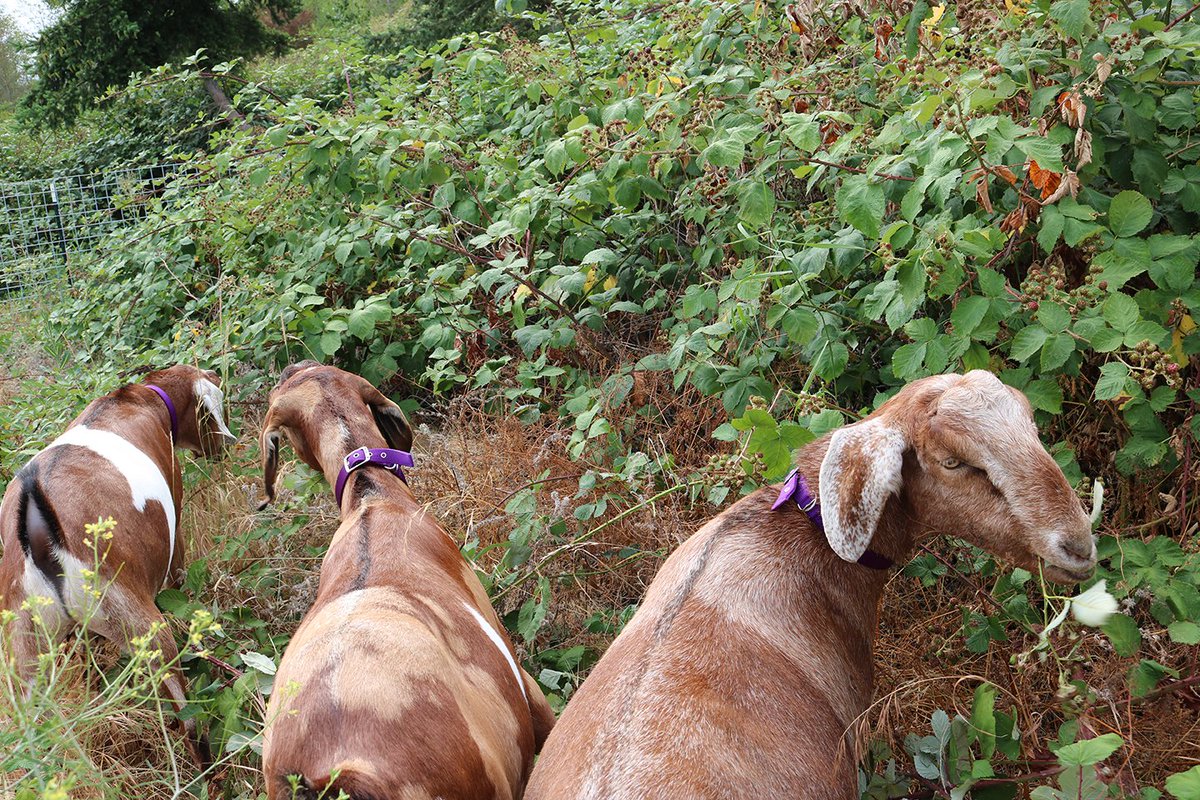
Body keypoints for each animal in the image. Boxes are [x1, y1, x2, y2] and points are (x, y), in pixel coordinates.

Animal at [0, 362, 236, 762]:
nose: (222, 449)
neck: (142, 398)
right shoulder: (176, 521)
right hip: (140, 624)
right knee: (188, 719)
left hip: (25, 654)